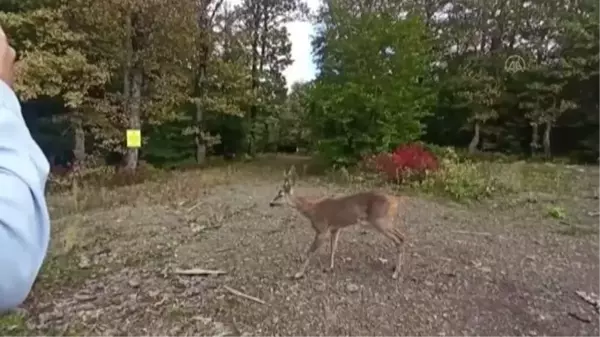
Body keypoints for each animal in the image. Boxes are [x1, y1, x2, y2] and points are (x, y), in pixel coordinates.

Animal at [268, 165, 406, 278]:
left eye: (280, 194)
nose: (271, 203)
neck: (311, 210)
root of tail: (395, 201)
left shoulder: (322, 229)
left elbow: (310, 251)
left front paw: (298, 273)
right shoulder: (335, 228)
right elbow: (333, 248)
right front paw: (330, 267)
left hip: (380, 221)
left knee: (399, 239)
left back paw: (395, 273)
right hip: (387, 221)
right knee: (402, 236)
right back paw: (395, 269)